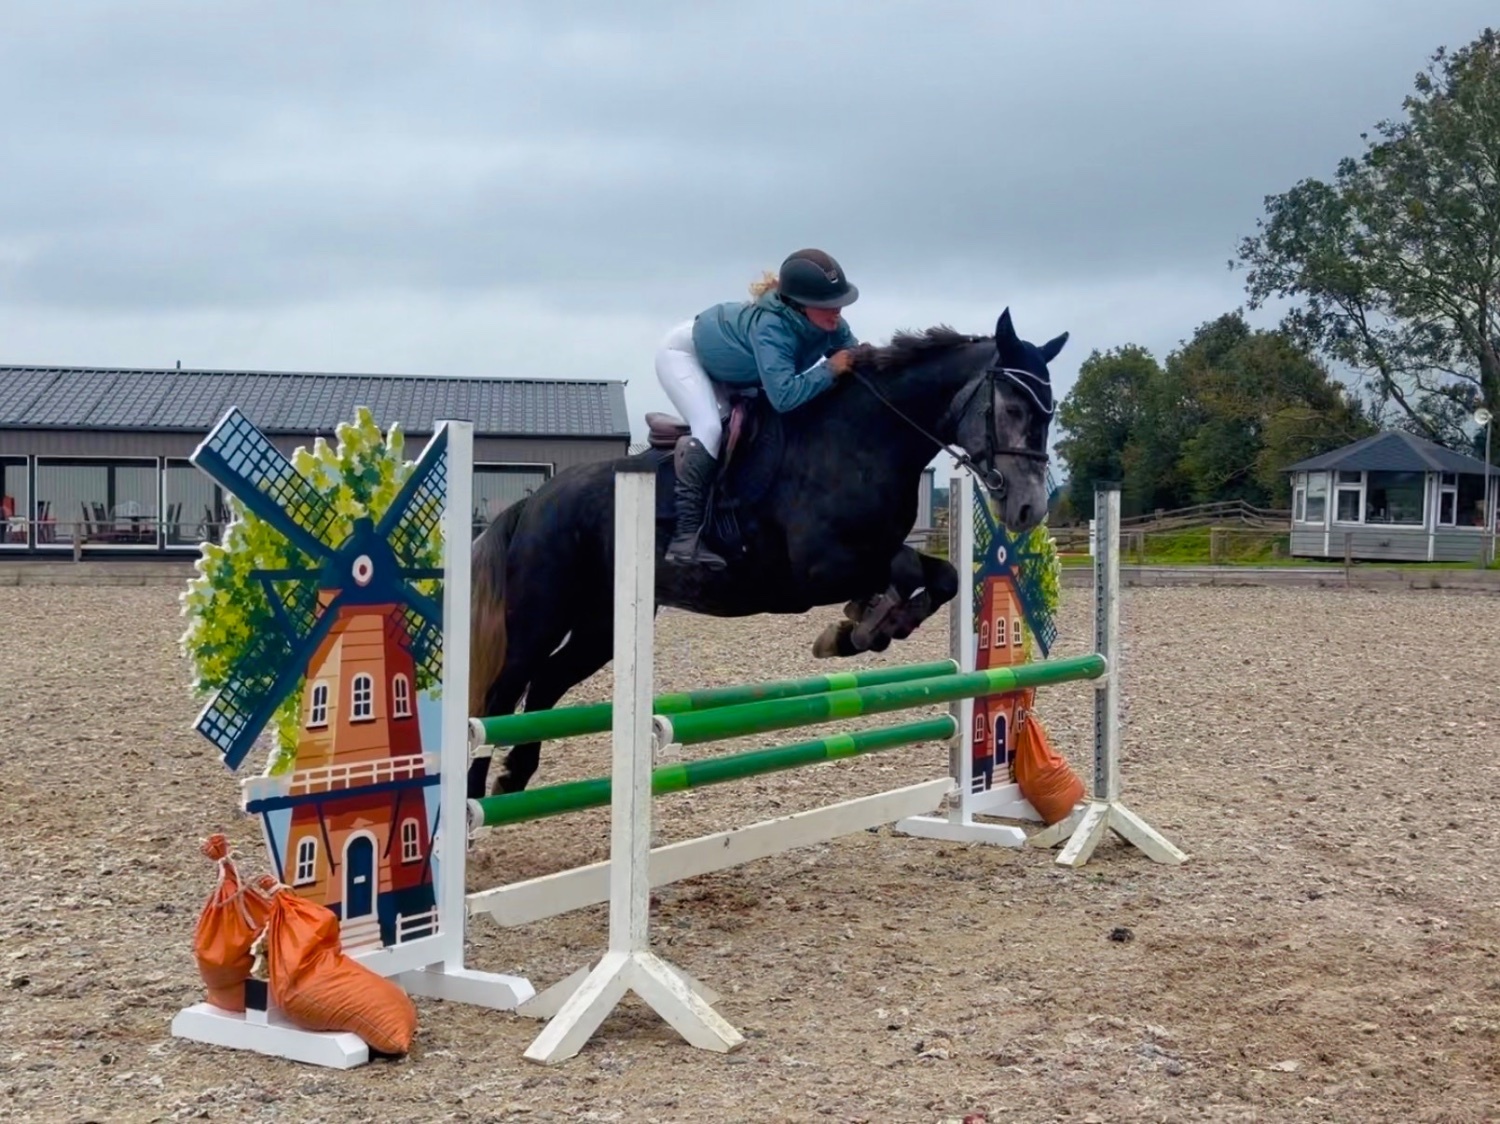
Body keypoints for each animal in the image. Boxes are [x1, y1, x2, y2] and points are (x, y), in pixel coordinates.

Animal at [466, 307, 1067, 799]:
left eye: (1050, 412)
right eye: (1014, 407)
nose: (1028, 509)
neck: (862, 442)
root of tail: (536, 500)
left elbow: (944, 577)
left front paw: (865, 627)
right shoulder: (820, 570)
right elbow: (901, 570)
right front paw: (858, 627)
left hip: (601, 623)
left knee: (547, 682)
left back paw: (514, 777)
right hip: (541, 614)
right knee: (502, 694)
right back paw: (472, 806)